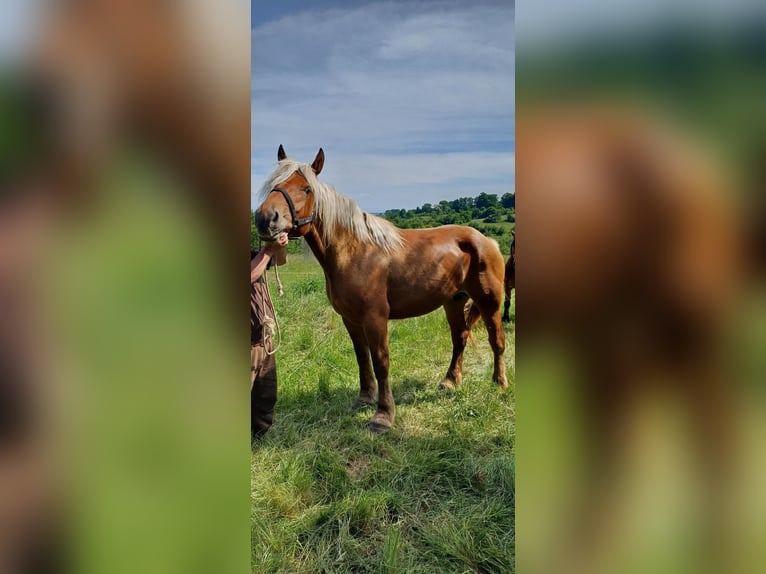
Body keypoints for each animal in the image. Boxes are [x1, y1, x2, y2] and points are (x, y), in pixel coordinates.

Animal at [254, 146, 508, 433]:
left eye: (306, 188)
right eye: (274, 184)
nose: (265, 218)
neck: (354, 252)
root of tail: (487, 240)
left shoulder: (375, 318)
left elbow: (380, 361)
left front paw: (383, 416)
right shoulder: (351, 319)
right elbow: (362, 358)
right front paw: (365, 399)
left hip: (490, 302)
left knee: (497, 340)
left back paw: (499, 383)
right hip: (453, 301)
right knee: (460, 338)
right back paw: (450, 381)